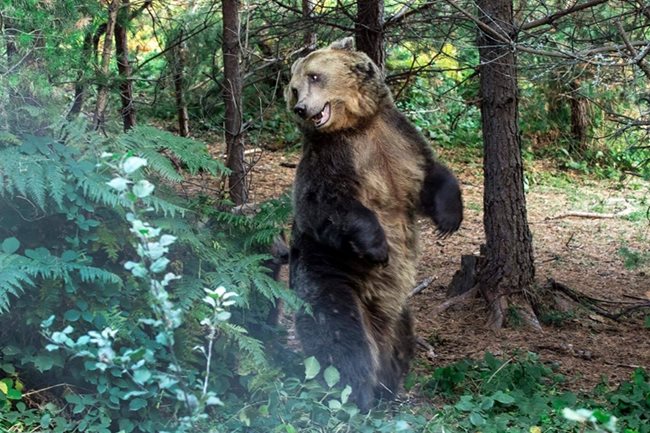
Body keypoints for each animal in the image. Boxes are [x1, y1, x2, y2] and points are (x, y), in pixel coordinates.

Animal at [286, 37, 464, 408]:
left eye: (314, 76)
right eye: (294, 88)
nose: (301, 108)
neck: (356, 125)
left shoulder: (399, 141)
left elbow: (431, 175)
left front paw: (449, 218)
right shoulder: (333, 159)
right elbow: (327, 206)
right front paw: (378, 246)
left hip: (398, 311)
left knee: (401, 340)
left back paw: (389, 387)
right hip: (328, 277)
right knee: (342, 339)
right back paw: (358, 395)